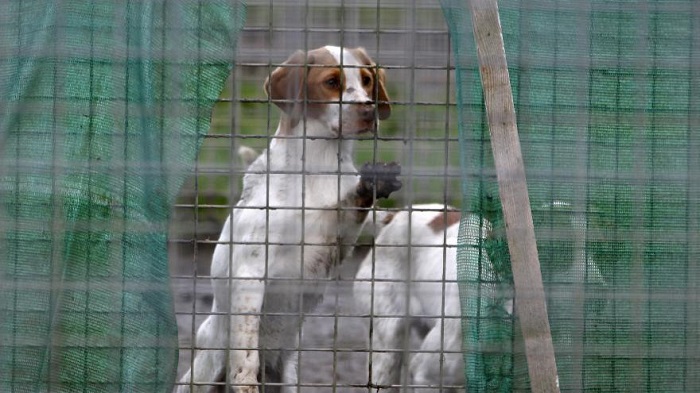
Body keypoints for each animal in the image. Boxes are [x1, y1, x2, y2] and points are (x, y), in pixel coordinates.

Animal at [178, 46, 402, 392]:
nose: (368, 109)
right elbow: (244, 361)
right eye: (332, 82)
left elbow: (352, 205)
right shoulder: (249, 274)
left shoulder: (338, 236)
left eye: (366, 80)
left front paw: (373, 183)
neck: (319, 165)